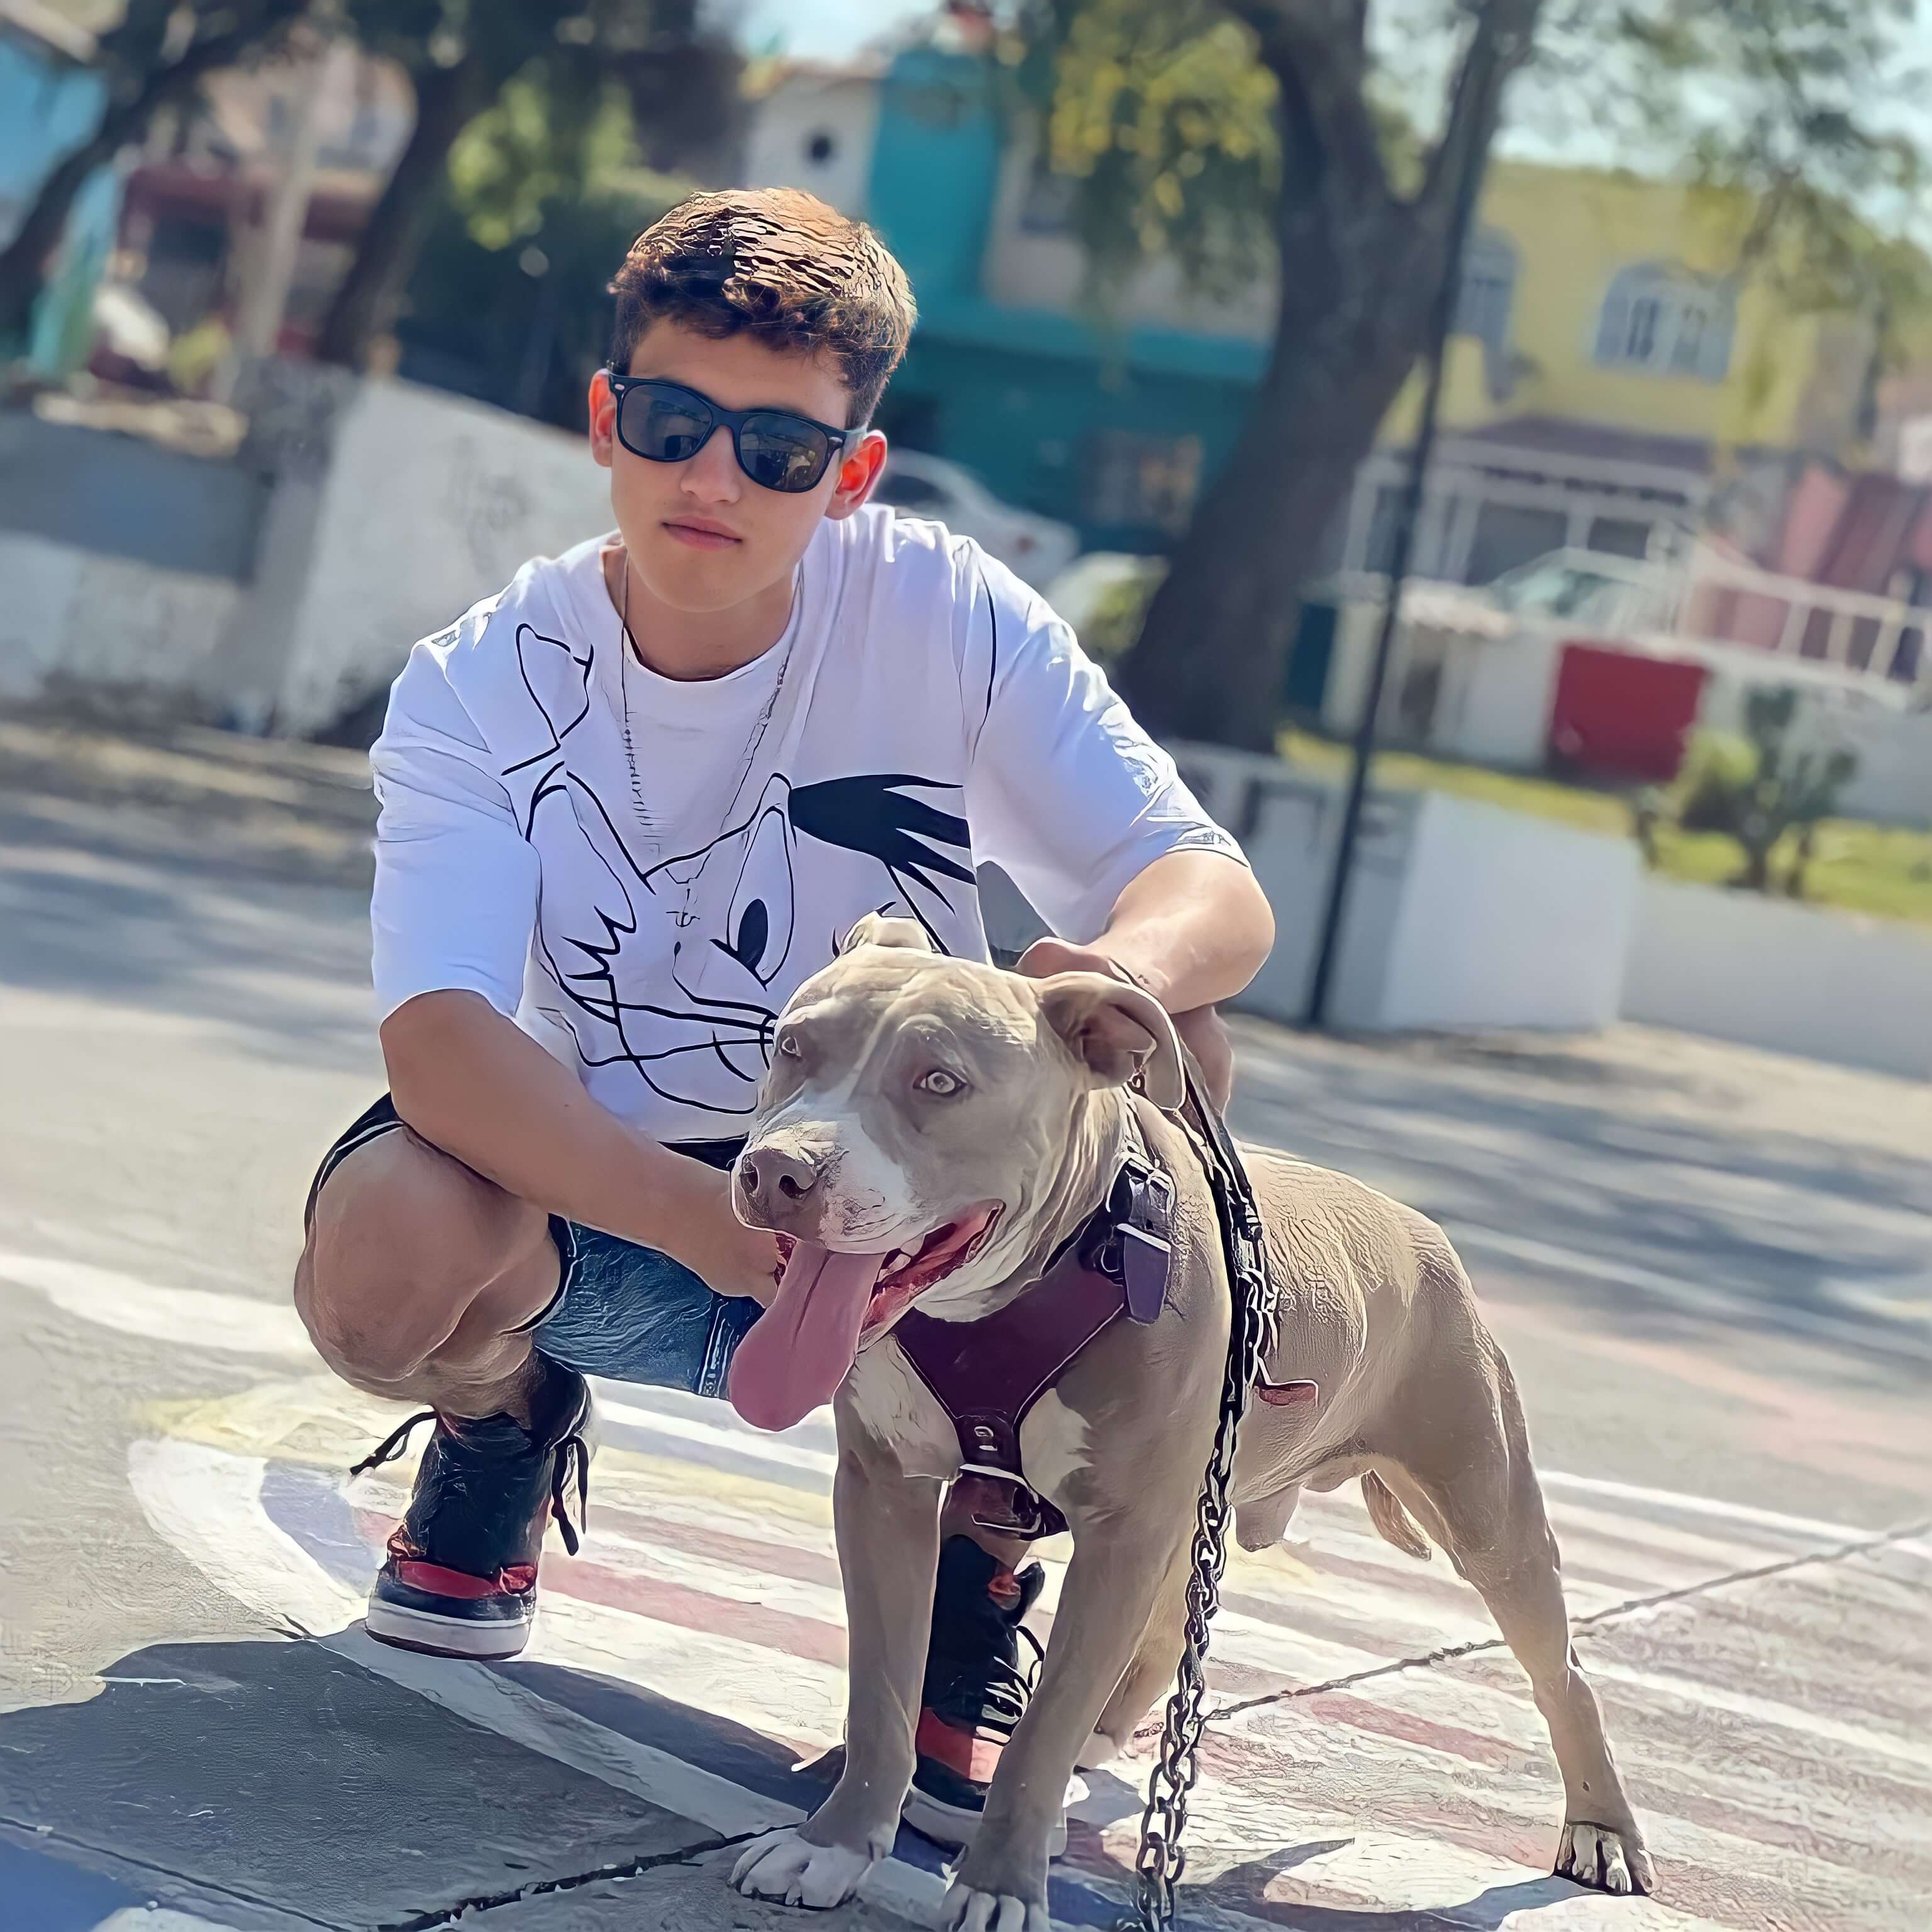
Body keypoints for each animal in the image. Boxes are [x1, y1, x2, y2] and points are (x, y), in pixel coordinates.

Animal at [726, 916, 1652, 1928]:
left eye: (941, 1082)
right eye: (792, 1047)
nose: (778, 1172)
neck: (1032, 1280)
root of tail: (1418, 1226)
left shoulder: (1120, 1532)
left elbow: (1038, 1738)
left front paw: (1000, 1886)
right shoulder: (886, 1489)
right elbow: (882, 1697)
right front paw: (834, 1846)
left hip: (1486, 1515)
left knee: (1564, 1674)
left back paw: (1603, 1830)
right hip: (1193, 1509)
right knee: (1175, 1623)